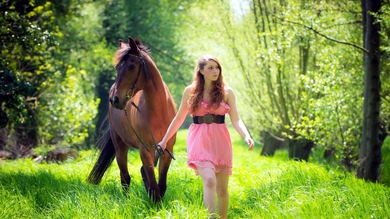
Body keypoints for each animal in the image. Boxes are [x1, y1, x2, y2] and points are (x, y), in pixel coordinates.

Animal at [88, 36, 177, 203]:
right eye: (117, 67)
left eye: (131, 67)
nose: (115, 99)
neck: (159, 111)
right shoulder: (145, 150)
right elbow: (154, 185)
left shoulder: (166, 149)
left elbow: (161, 184)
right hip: (120, 147)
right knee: (125, 177)